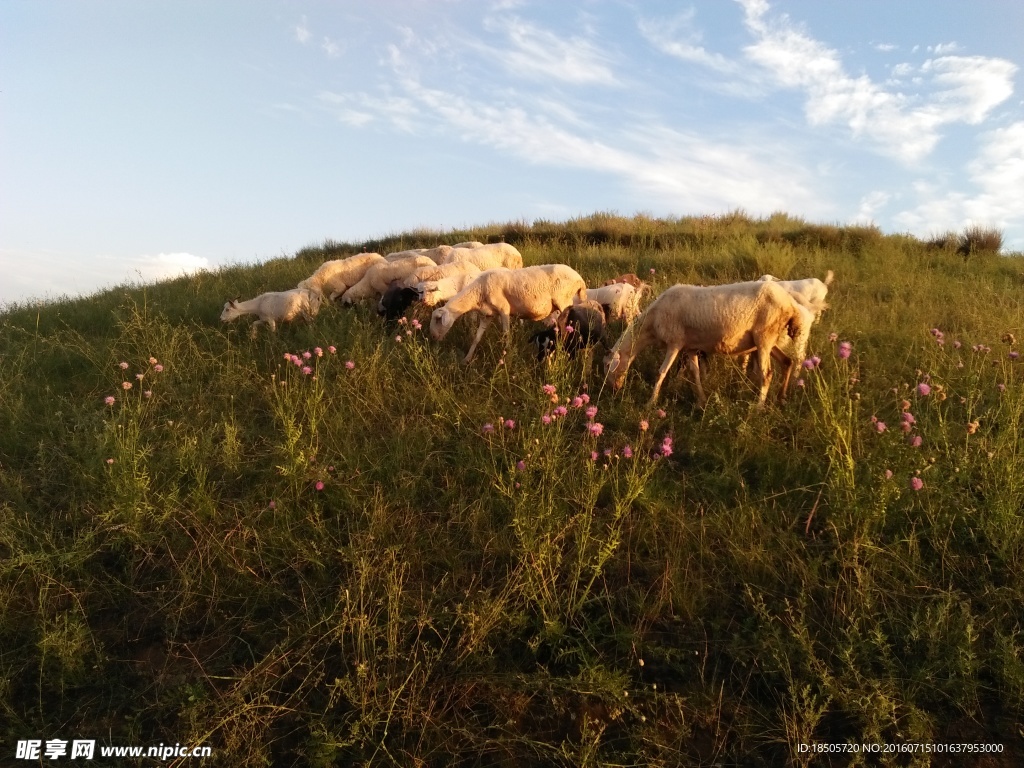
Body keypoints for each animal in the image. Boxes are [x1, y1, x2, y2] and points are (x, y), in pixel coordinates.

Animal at [430, 264, 589, 364]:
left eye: (438, 319)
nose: (433, 337)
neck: (478, 291)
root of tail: (579, 279)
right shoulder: (487, 315)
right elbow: (476, 338)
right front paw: (466, 359)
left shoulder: (504, 310)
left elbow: (506, 336)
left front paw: (508, 358)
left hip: (564, 302)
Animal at [602, 280, 802, 405]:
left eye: (608, 366)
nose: (613, 390)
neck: (650, 325)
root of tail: (790, 304)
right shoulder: (690, 347)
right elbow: (695, 373)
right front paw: (701, 400)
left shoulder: (675, 343)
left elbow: (661, 372)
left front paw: (651, 403)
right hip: (768, 340)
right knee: (787, 362)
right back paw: (781, 397)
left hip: (764, 337)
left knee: (767, 374)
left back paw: (758, 408)